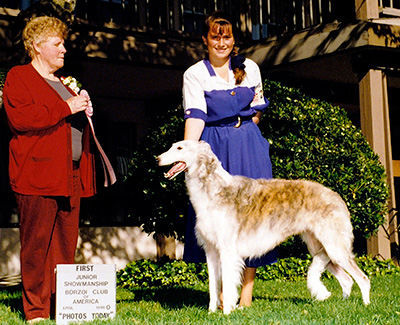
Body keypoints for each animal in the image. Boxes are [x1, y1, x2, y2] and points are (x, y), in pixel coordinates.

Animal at [157, 140, 372, 314]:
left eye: (179, 147)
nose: (157, 158)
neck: (214, 190)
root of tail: (337, 197)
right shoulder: (211, 251)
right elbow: (213, 287)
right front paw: (211, 312)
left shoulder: (227, 251)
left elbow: (227, 286)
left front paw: (227, 313)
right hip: (320, 248)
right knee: (347, 280)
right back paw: (342, 305)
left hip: (335, 248)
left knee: (362, 278)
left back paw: (366, 306)